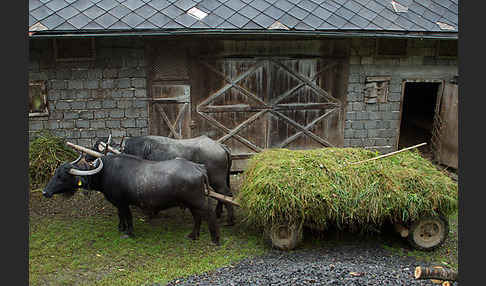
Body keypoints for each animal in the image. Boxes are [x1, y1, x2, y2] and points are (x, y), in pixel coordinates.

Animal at [42, 153, 221, 245]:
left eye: (62, 176)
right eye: (55, 173)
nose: (45, 192)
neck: (105, 172)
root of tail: (198, 167)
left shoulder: (123, 202)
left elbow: (128, 216)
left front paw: (128, 232)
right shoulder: (118, 203)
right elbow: (120, 215)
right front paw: (120, 228)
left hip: (198, 201)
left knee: (209, 214)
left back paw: (215, 239)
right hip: (191, 203)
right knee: (197, 216)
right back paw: (193, 235)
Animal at [90, 135, 237, 227]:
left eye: (95, 146)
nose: (87, 158)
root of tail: (220, 146)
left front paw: (150, 213)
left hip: (217, 180)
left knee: (227, 195)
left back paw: (230, 220)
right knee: (222, 196)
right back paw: (218, 213)